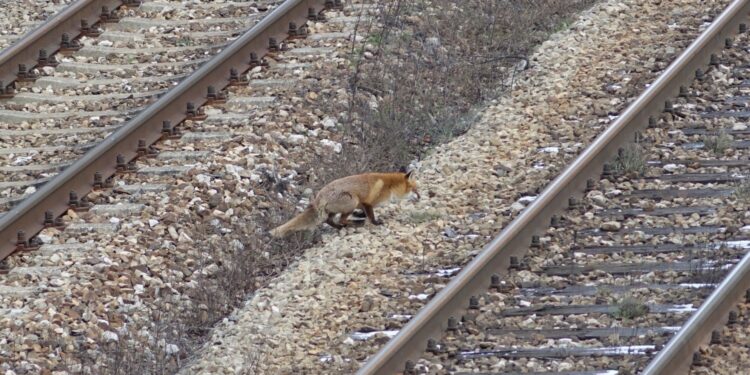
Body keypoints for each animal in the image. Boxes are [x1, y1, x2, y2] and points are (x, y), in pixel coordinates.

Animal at [272, 171, 424, 238]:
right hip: (352, 200)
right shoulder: (367, 202)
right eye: (415, 189)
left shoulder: (363, 205)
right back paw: (354, 224)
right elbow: (371, 216)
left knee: (329, 220)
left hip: (334, 210)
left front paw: (360, 216)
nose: (420, 196)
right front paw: (376, 223)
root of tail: (318, 196)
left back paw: (342, 226)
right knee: (341, 219)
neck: (389, 186)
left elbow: (364, 213)